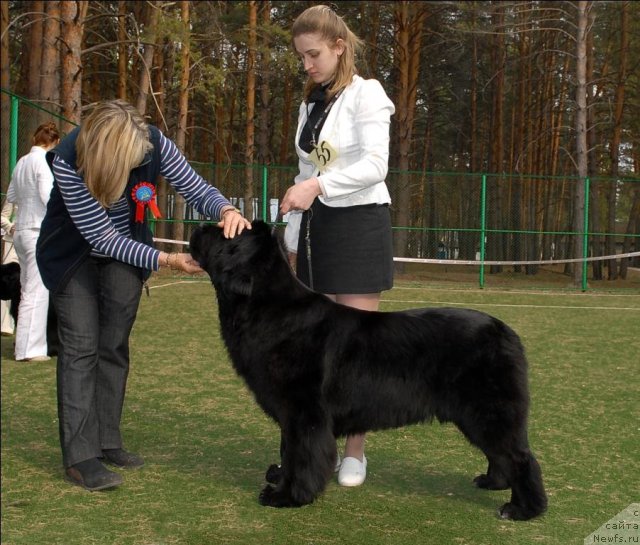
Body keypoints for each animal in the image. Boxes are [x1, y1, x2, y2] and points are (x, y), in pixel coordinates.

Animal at [190, 220, 544, 520]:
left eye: (222, 234)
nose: (198, 227)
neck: (266, 306)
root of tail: (508, 333)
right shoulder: (291, 413)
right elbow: (288, 449)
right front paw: (279, 478)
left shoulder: (305, 413)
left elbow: (302, 454)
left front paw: (288, 496)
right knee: (501, 453)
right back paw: (493, 482)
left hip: (488, 409)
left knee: (520, 456)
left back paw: (523, 509)